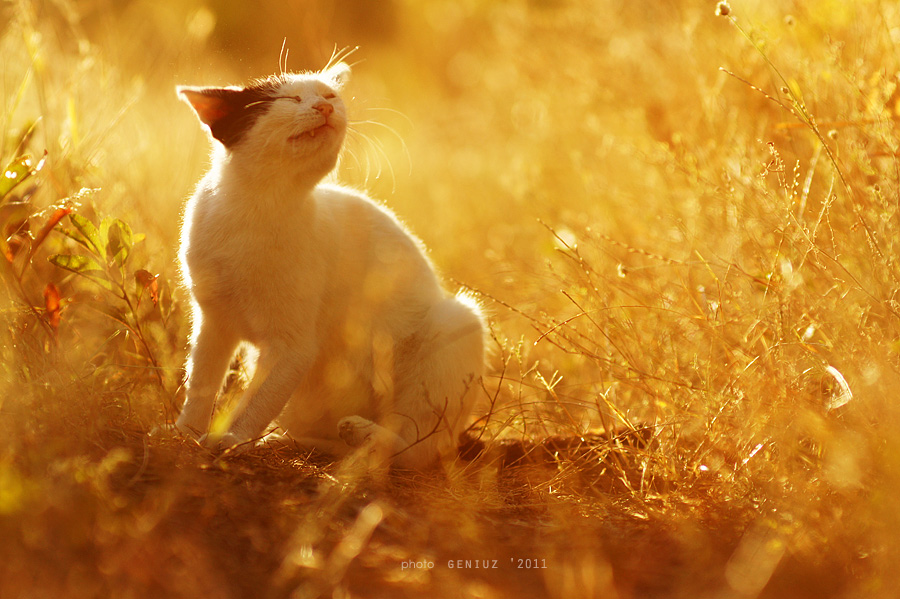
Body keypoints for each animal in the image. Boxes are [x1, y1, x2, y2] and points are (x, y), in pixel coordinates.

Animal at [174, 63, 486, 472]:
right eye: (291, 98)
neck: (257, 207)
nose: (324, 107)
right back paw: (300, 441)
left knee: (417, 449)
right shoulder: (213, 321)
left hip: (458, 320)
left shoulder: (293, 346)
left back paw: (363, 434)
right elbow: (201, 383)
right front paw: (185, 433)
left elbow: (258, 401)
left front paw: (229, 440)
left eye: (329, 95)